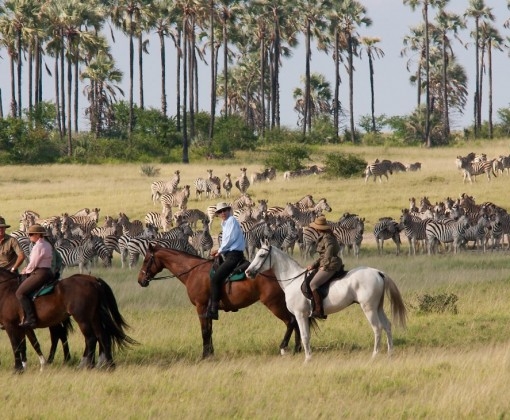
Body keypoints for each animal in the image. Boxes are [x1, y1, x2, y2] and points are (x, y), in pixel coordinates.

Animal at [0, 268, 136, 372]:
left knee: (90, 338)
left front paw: (18, 368)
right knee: (102, 336)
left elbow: (17, 345)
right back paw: (108, 365)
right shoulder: (21, 327)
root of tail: (94, 282)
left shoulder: (11, 325)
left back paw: (86, 365)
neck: (6, 290)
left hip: (82, 318)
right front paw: (29, 365)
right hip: (93, 317)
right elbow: (26, 344)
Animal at [137, 243, 300, 358]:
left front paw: (204, 355)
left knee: (290, 321)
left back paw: (284, 347)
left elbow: (204, 331)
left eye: (146, 260)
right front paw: (211, 353)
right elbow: (210, 330)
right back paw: (297, 348)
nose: (140, 280)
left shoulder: (201, 307)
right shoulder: (208, 310)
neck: (193, 271)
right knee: (296, 322)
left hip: (274, 304)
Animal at [245, 244, 408, 362]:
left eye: (261, 255)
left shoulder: (300, 315)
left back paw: (374, 355)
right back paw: (390, 353)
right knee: (387, 326)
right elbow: (306, 336)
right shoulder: (302, 316)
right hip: (378, 307)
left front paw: (307, 359)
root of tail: (378, 272)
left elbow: (304, 336)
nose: (248, 272)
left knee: (377, 328)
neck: (292, 280)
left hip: (369, 309)